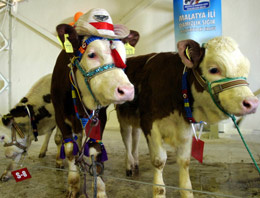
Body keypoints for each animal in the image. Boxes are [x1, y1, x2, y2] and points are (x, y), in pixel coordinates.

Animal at [50, 8, 138, 196]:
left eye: (124, 56)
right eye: (91, 54)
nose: (127, 90)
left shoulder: (100, 117)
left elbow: (95, 150)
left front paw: (100, 190)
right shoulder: (61, 116)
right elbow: (69, 149)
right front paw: (73, 185)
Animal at [117, 36, 258, 196]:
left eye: (246, 70)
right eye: (214, 69)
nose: (252, 103)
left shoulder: (184, 127)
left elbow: (184, 161)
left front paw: (187, 193)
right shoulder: (149, 122)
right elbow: (159, 161)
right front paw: (158, 191)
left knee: (134, 137)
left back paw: (135, 164)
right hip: (123, 117)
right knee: (127, 139)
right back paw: (129, 166)